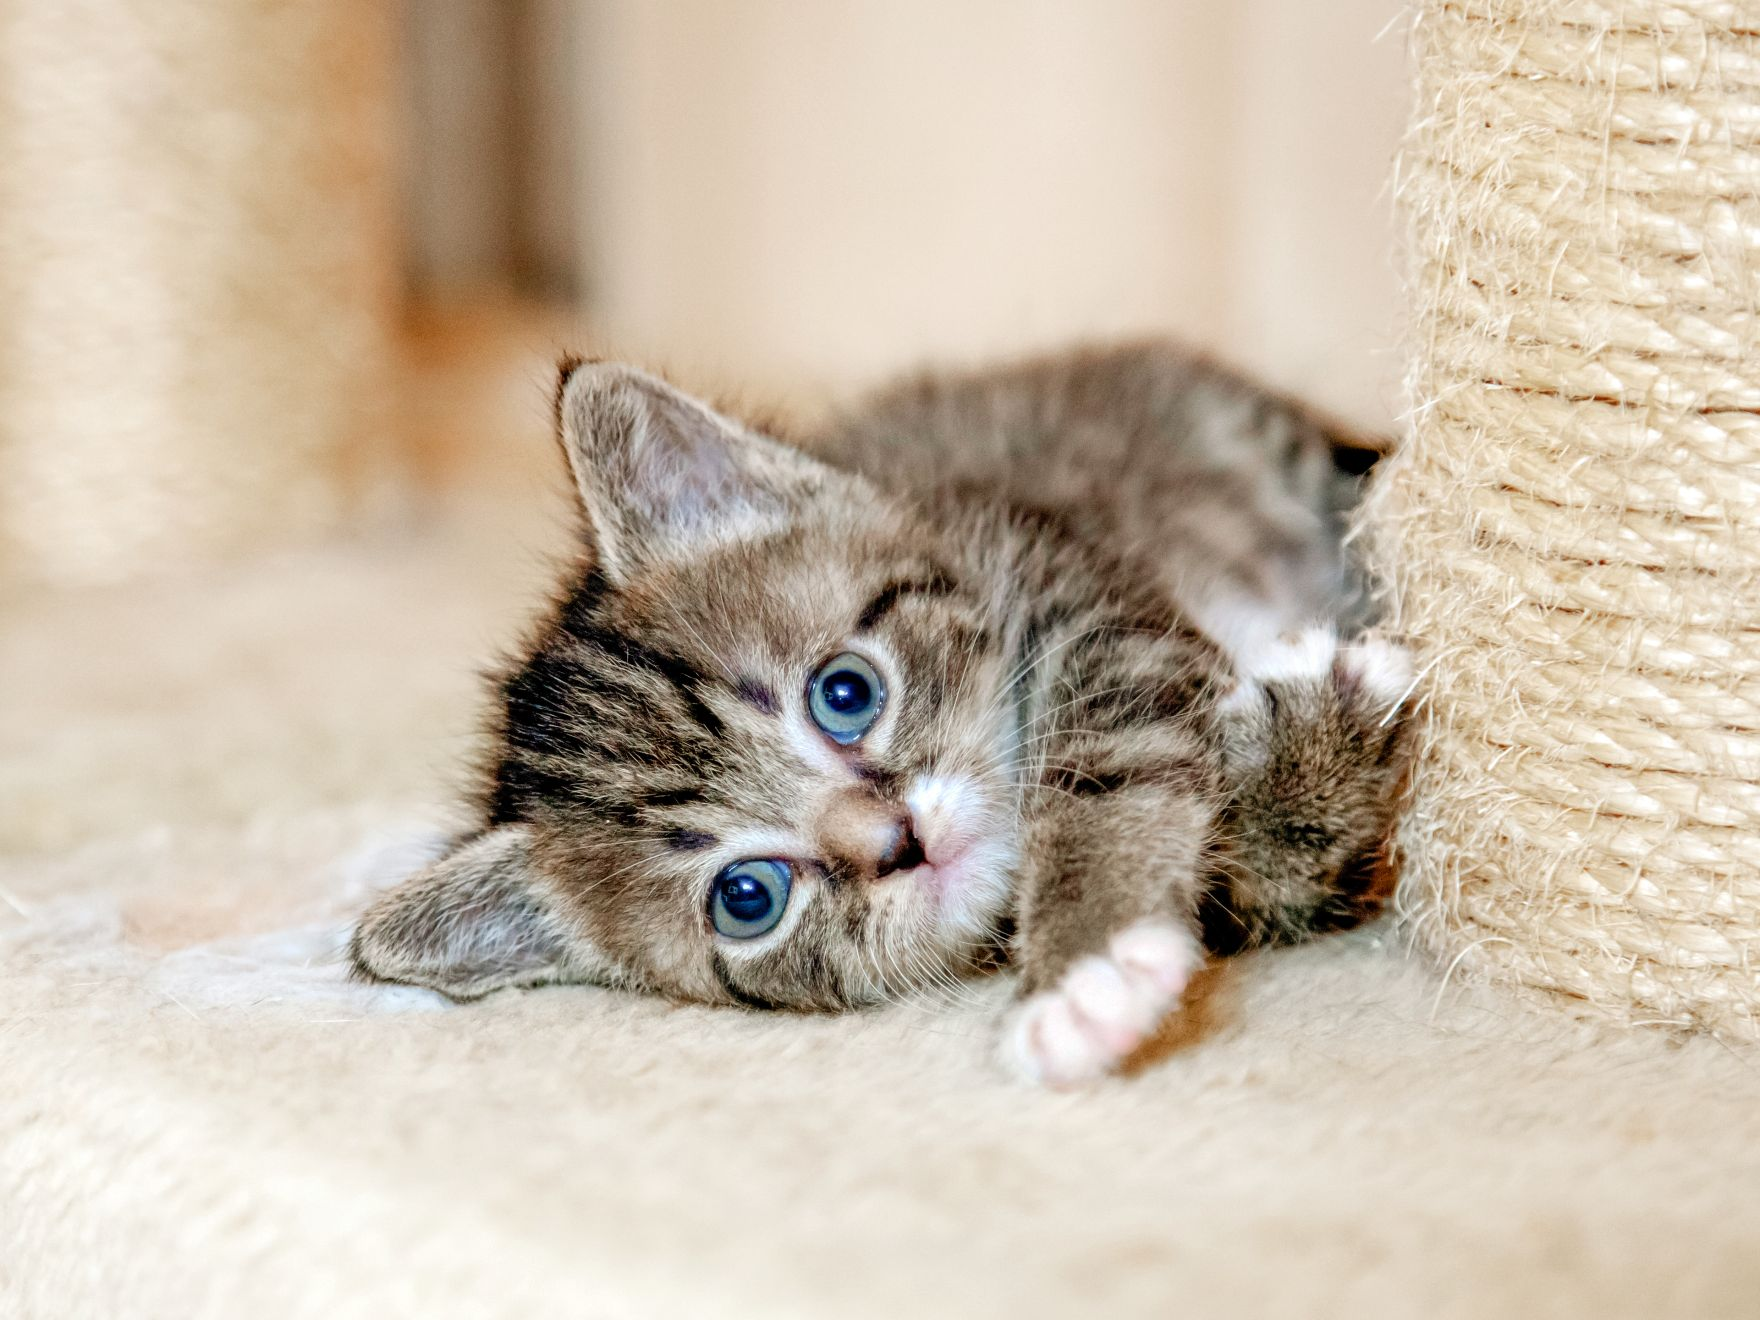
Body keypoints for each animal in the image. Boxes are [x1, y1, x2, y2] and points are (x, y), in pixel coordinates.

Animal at [350, 341, 1408, 1084]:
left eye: (845, 694)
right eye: (748, 897)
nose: (897, 842)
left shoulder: (1082, 598)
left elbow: (1111, 770)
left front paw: (1083, 963)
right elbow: (1272, 881)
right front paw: (1321, 739)